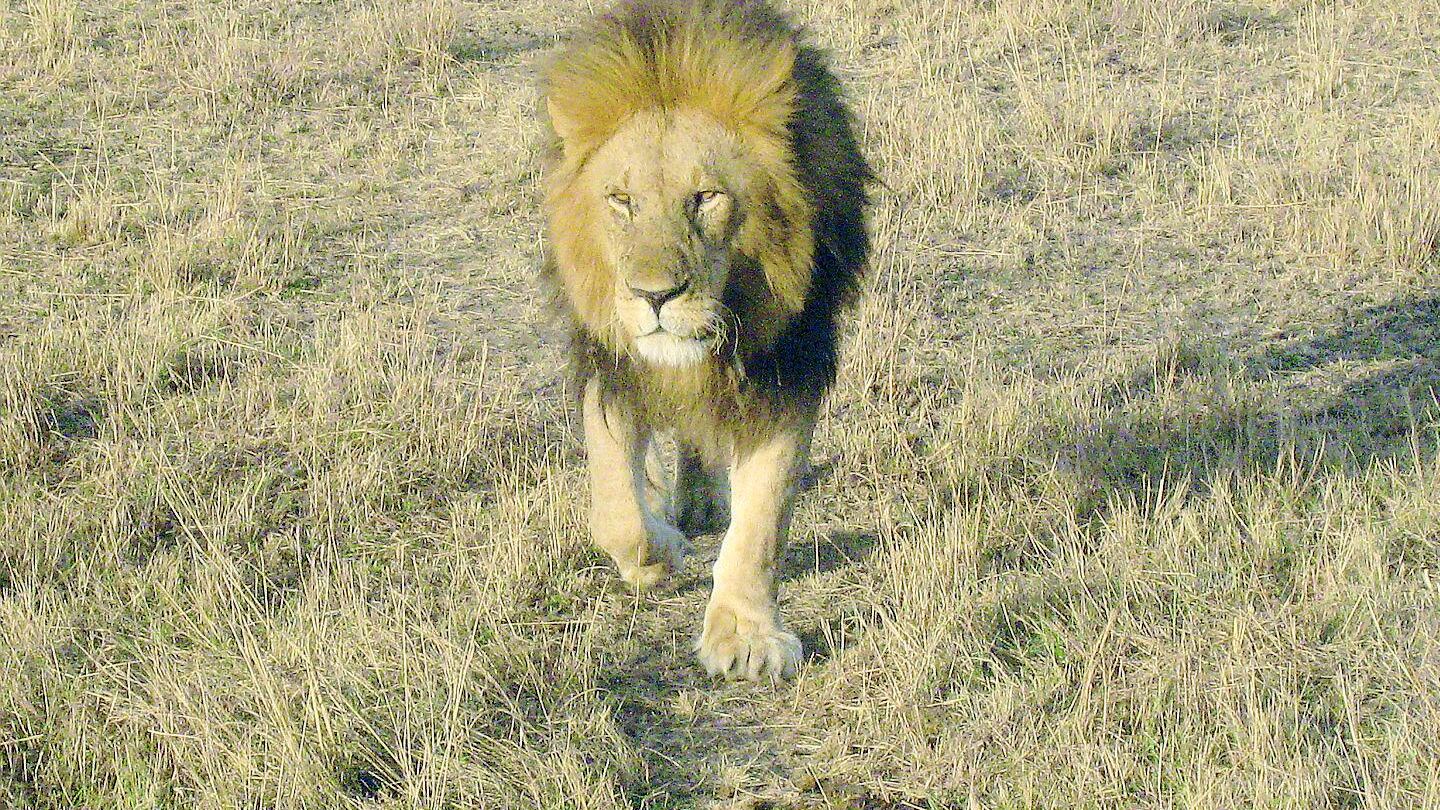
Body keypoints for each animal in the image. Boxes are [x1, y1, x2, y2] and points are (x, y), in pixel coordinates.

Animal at [539, 0, 872, 680]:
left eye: (706, 197)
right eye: (621, 201)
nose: (655, 297)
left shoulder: (785, 369)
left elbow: (763, 517)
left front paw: (746, 636)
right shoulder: (610, 362)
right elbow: (615, 505)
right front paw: (658, 556)